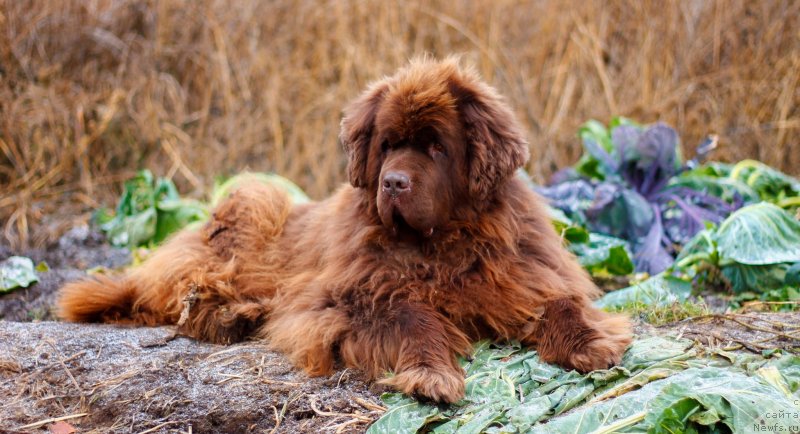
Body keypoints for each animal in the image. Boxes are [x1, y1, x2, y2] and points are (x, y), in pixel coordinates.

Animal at [57, 56, 632, 404]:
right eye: (388, 145)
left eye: (436, 148)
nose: (394, 182)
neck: (440, 245)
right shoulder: (350, 297)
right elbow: (412, 317)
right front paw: (432, 375)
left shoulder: (525, 273)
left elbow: (561, 301)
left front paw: (591, 344)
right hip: (254, 202)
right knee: (179, 296)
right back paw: (228, 315)